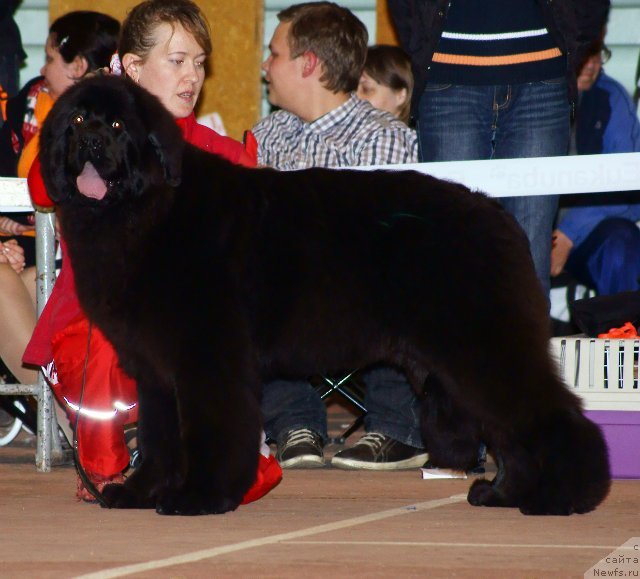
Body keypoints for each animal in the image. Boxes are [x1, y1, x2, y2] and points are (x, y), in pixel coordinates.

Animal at [38, 76, 608, 516]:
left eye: (117, 127)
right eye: (77, 120)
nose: (91, 144)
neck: (146, 210)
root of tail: (497, 214)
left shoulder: (207, 357)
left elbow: (211, 430)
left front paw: (199, 497)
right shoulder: (156, 367)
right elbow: (159, 438)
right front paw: (139, 493)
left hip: (479, 347)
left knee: (548, 414)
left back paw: (563, 496)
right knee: (510, 430)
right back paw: (504, 493)